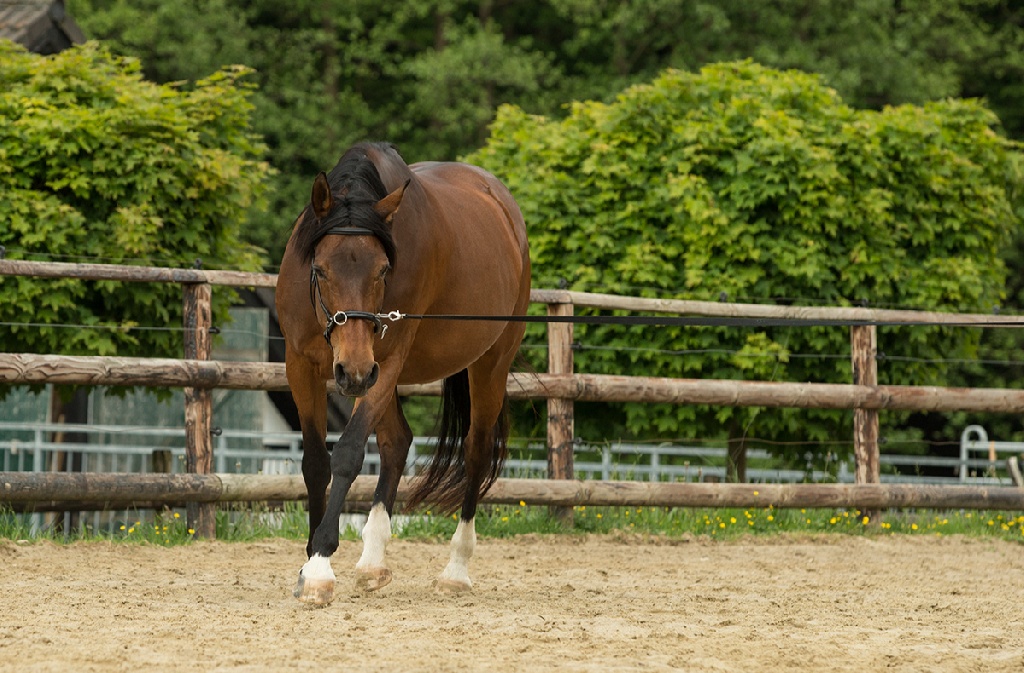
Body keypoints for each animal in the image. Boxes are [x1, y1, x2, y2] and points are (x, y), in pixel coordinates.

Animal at [276, 143, 532, 602]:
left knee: (476, 449)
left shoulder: (385, 361)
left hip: (488, 362)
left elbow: (347, 455)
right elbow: (316, 463)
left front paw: (321, 563)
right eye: (320, 269)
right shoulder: (301, 365)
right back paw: (373, 562)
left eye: (382, 270)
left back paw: (456, 569)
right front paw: (307, 565)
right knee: (397, 442)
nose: (352, 371)